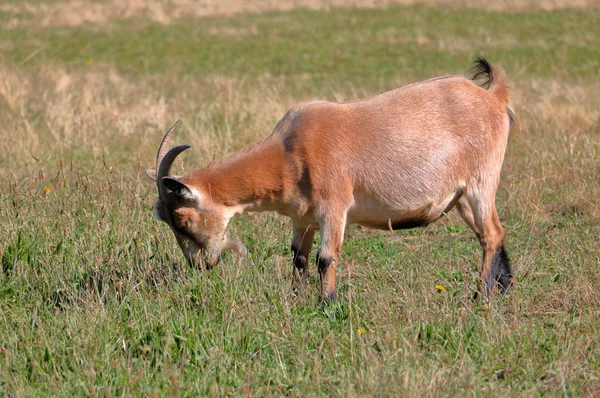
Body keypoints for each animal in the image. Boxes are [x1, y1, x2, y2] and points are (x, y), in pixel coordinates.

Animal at [146, 57, 516, 302]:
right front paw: (296, 298)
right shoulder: (302, 218)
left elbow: (326, 258)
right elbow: (298, 258)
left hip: (481, 183)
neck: (291, 150)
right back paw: (503, 287)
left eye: (182, 219)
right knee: (492, 234)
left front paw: (328, 303)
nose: (199, 265)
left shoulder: (334, 207)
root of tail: (493, 97)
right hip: (461, 197)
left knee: (491, 233)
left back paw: (481, 296)